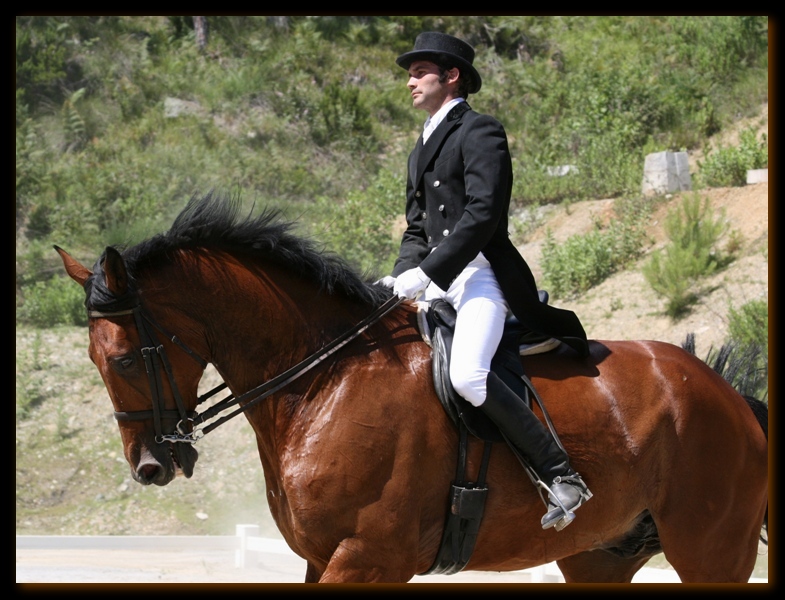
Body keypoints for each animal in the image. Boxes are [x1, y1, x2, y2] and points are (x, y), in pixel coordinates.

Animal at [55, 195, 764, 584]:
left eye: (123, 359)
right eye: (93, 359)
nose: (150, 466)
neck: (324, 379)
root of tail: (730, 397)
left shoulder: (369, 557)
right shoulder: (322, 557)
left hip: (709, 551)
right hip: (601, 556)